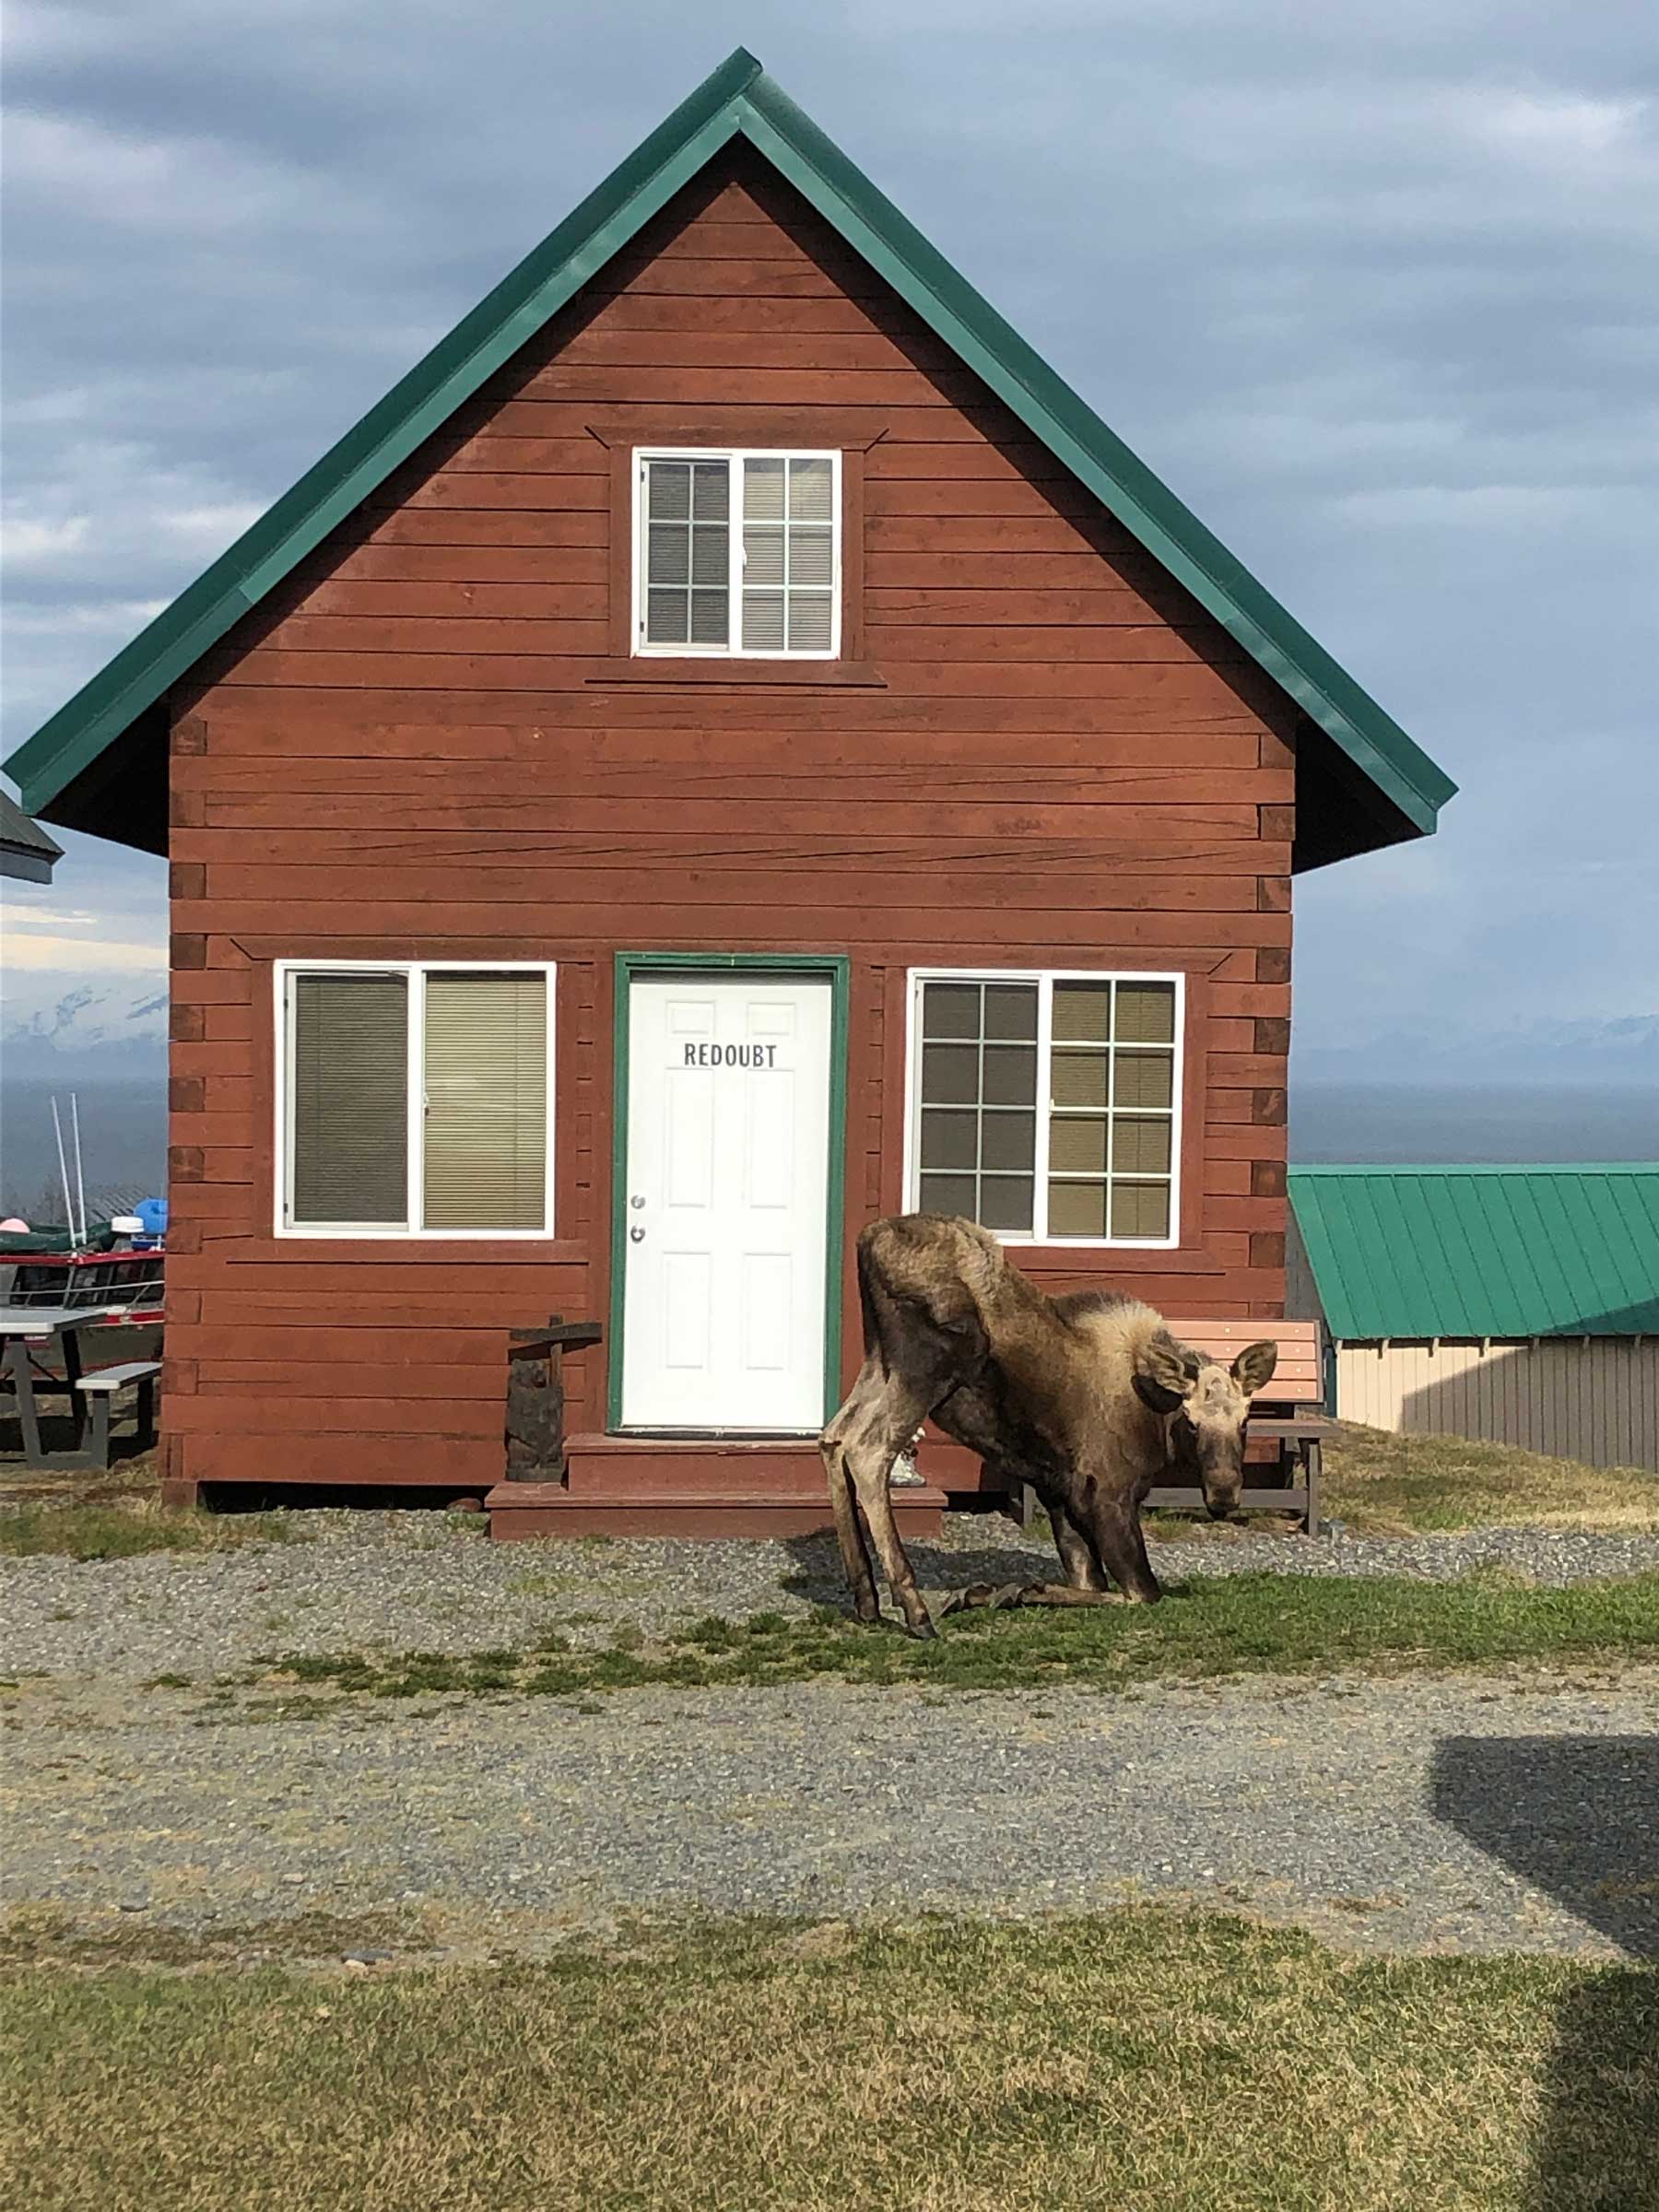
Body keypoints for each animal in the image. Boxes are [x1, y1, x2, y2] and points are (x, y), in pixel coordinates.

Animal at [827, 1220, 1283, 1637]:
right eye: (1191, 1422)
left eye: (1246, 1419)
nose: (1224, 1493)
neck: (1154, 1420)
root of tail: (868, 1240)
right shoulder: (1108, 1496)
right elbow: (1140, 1593)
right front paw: (1009, 1591)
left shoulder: (1062, 1496)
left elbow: (1090, 1583)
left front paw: (990, 1592)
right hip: (929, 1364)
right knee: (867, 1448)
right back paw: (915, 1611)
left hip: (880, 1360)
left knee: (835, 1436)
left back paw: (866, 1600)